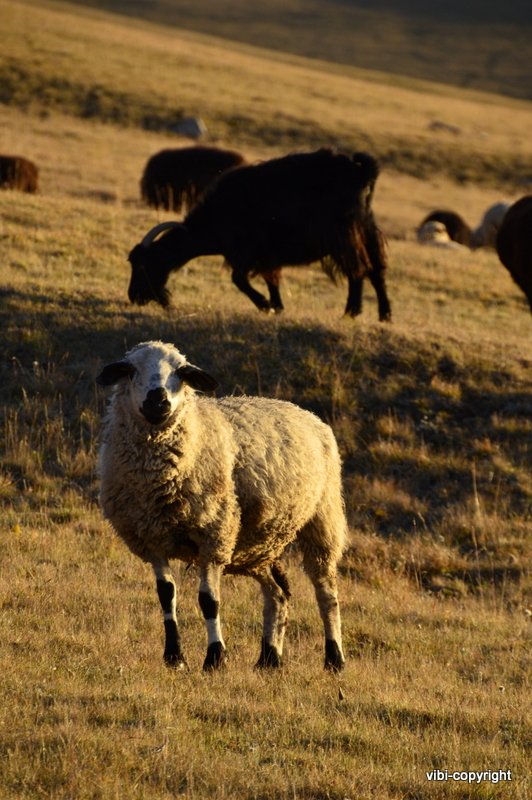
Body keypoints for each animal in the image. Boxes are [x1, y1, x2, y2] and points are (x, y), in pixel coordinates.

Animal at [97, 340, 347, 672]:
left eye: (181, 372)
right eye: (130, 369)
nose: (158, 401)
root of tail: (306, 413)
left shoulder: (213, 536)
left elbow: (208, 600)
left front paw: (215, 657)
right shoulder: (152, 539)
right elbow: (166, 595)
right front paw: (174, 656)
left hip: (322, 520)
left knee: (326, 593)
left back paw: (334, 658)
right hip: (257, 546)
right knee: (278, 595)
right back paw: (269, 659)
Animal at [128, 148, 392, 321]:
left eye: (143, 265)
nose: (134, 297)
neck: (217, 215)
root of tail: (361, 172)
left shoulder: (244, 252)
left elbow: (239, 279)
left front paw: (265, 305)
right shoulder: (264, 256)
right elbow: (270, 279)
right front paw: (277, 306)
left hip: (344, 237)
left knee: (358, 269)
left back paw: (350, 312)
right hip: (366, 230)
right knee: (376, 270)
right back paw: (384, 315)